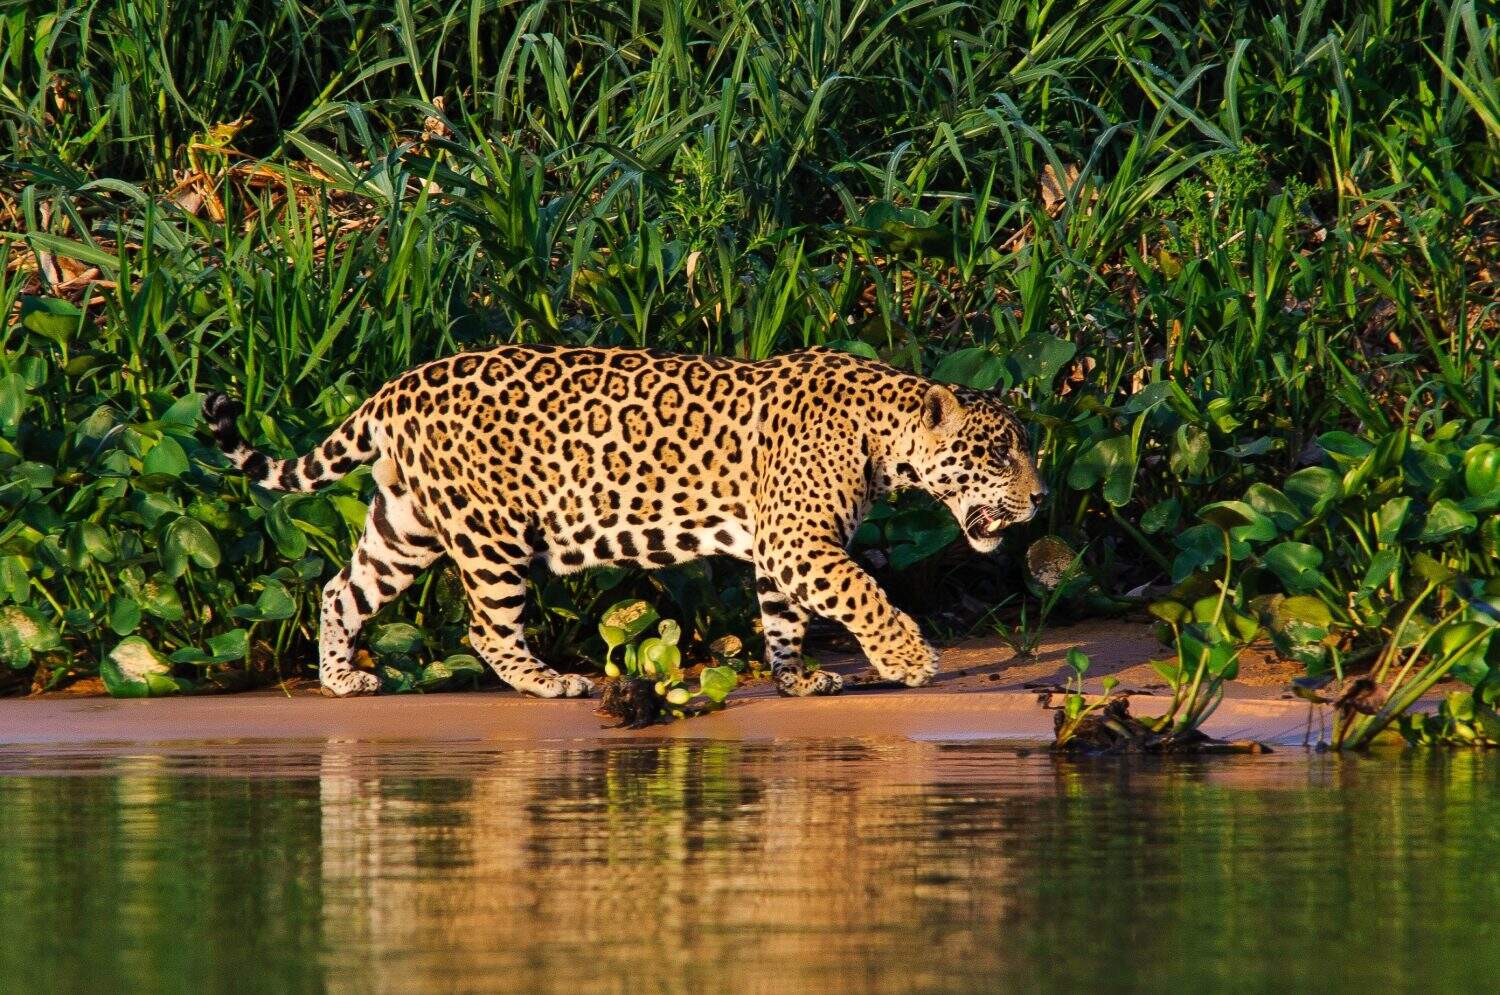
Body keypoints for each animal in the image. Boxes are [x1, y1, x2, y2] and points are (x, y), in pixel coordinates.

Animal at [202, 345, 1045, 699]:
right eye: (999, 452)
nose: (1040, 500)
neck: (882, 434)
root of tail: (393, 388)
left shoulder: (781, 545)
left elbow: (782, 617)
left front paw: (796, 677)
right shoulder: (802, 540)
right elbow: (863, 593)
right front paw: (909, 658)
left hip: (406, 522)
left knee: (340, 590)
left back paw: (341, 678)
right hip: (490, 530)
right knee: (486, 627)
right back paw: (550, 682)